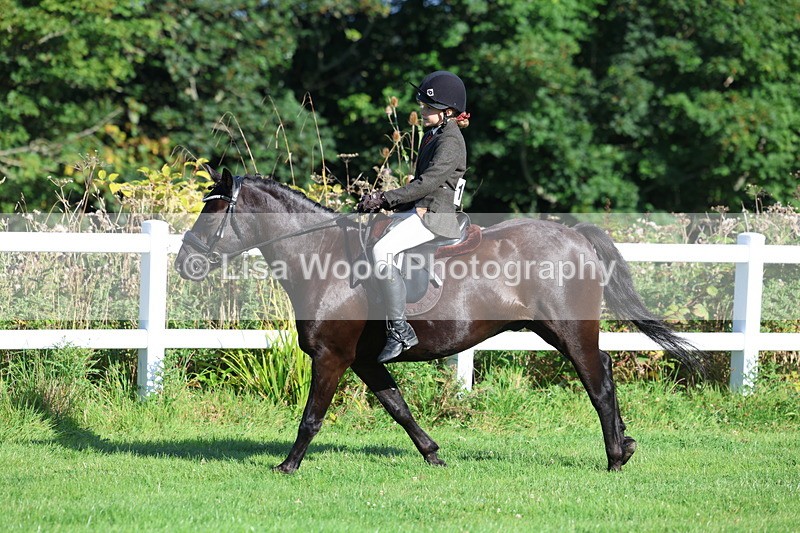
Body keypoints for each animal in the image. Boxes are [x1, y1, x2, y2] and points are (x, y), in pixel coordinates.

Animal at [175, 168, 700, 474]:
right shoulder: (365, 360)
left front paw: (286, 467)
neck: (323, 259)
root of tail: (575, 237)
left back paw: (616, 457)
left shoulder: (332, 357)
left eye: (212, 212)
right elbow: (399, 408)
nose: (185, 263)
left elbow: (311, 417)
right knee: (603, 373)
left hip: (569, 331)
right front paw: (432, 454)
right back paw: (623, 447)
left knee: (598, 381)